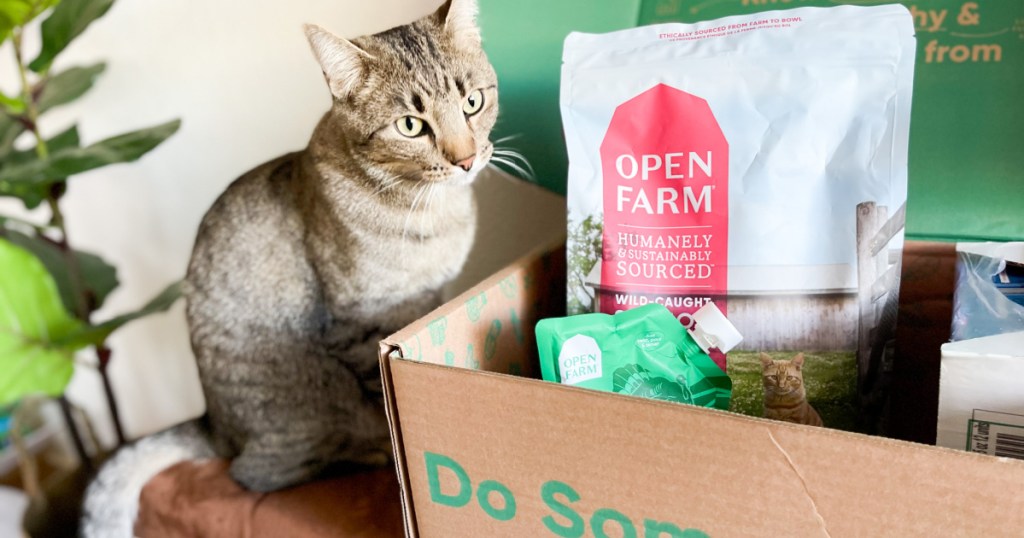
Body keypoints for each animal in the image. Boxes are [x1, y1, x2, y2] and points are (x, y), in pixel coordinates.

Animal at [81, 1, 497, 532]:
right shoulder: (360, 326)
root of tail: (213, 426)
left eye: (472, 102)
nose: (466, 160)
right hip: (304, 410)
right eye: (410, 125)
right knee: (256, 473)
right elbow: (385, 403)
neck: (430, 211)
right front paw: (395, 463)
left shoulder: (428, 298)